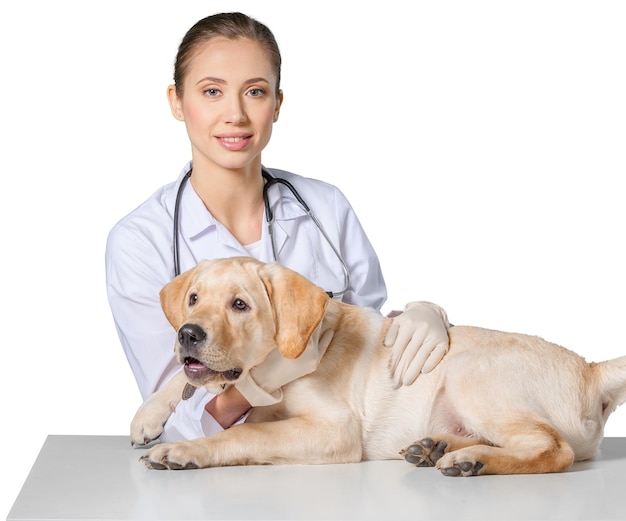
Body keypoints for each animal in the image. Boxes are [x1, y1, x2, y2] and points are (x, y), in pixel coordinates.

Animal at [130, 256, 624, 476]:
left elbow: (245, 433)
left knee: (553, 448)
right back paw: (434, 447)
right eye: (194, 299)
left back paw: (470, 461)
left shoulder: (336, 429)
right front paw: (147, 417)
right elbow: (182, 380)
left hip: (470, 371)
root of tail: (591, 368)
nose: (188, 334)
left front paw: (184, 450)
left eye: (240, 305)